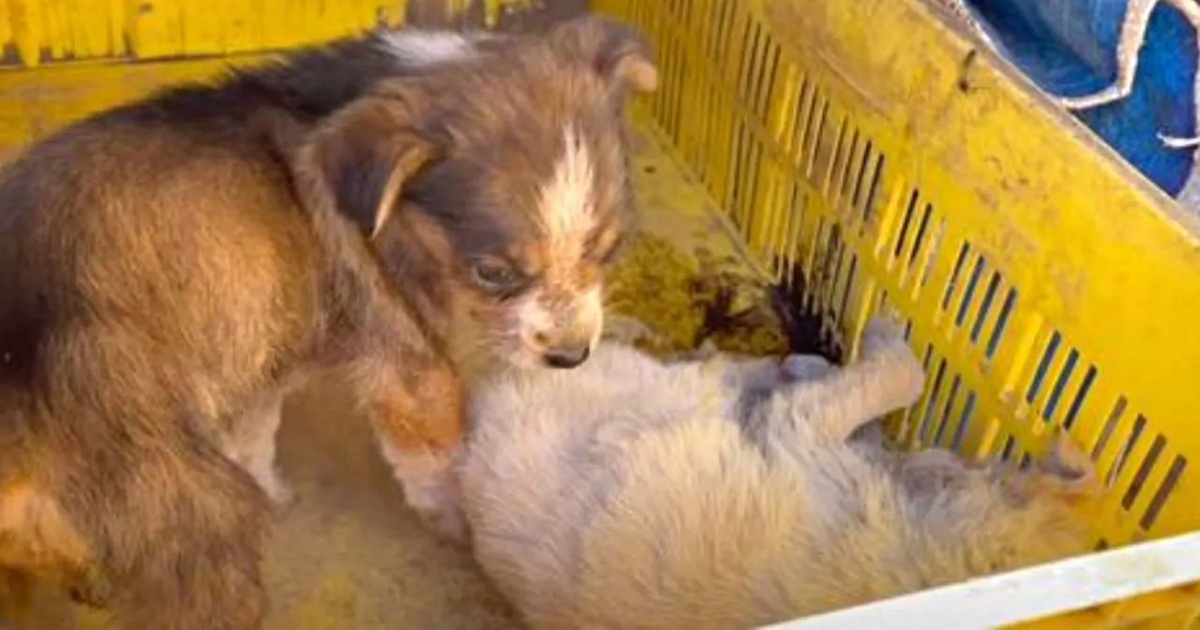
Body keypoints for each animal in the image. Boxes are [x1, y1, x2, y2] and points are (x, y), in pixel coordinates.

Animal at [0, 15, 657, 628]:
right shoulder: (408, 361)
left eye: (610, 249)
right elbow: (443, 461)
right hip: (183, 501)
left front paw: (276, 493)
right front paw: (465, 530)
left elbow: (255, 436)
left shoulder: (262, 356)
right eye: (492, 273)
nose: (571, 358)